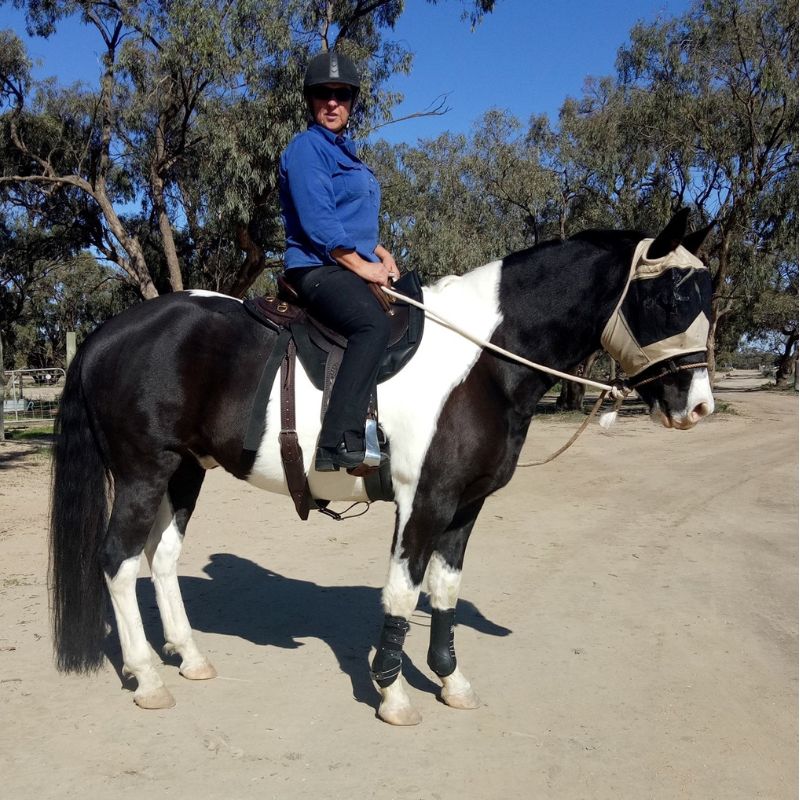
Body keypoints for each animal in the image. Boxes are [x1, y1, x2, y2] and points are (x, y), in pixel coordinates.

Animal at [49, 208, 715, 726]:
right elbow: (401, 592)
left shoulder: (465, 505)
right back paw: (147, 676)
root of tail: (108, 331)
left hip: (185, 471)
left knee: (160, 559)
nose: (699, 405)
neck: (481, 359)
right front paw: (393, 693)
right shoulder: (425, 499)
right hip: (143, 473)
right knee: (117, 562)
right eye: (671, 297)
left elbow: (443, 592)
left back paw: (189, 657)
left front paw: (450, 680)